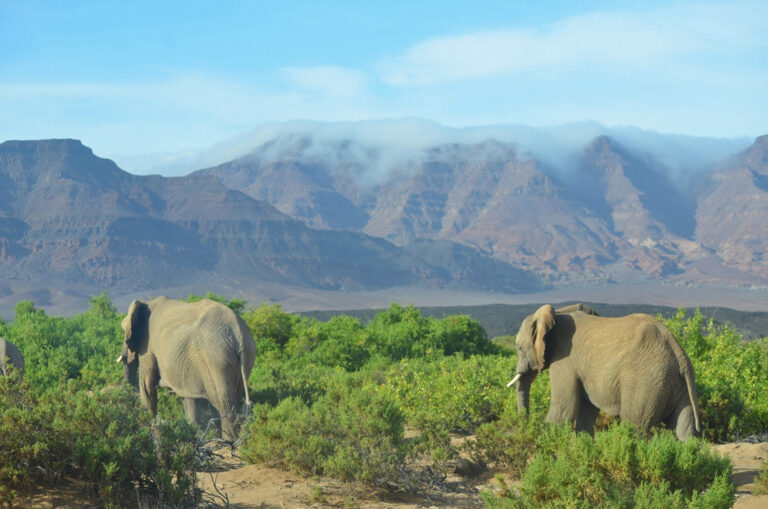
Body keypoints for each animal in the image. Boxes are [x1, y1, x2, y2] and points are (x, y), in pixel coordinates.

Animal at [115, 296, 256, 438]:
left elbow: (146, 387)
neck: (147, 302)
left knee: (224, 404)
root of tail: (238, 333)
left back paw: (229, 440)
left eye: (124, 332)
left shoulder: (147, 345)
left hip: (217, 359)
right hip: (245, 357)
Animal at [510, 304, 704, 438]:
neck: (558, 314)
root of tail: (679, 355)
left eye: (519, 348)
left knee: (635, 427)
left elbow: (564, 410)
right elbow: (585, 413)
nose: (524, 429)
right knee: (684, 432)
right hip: (679, 384)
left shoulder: (565, 361)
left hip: (645, 382)